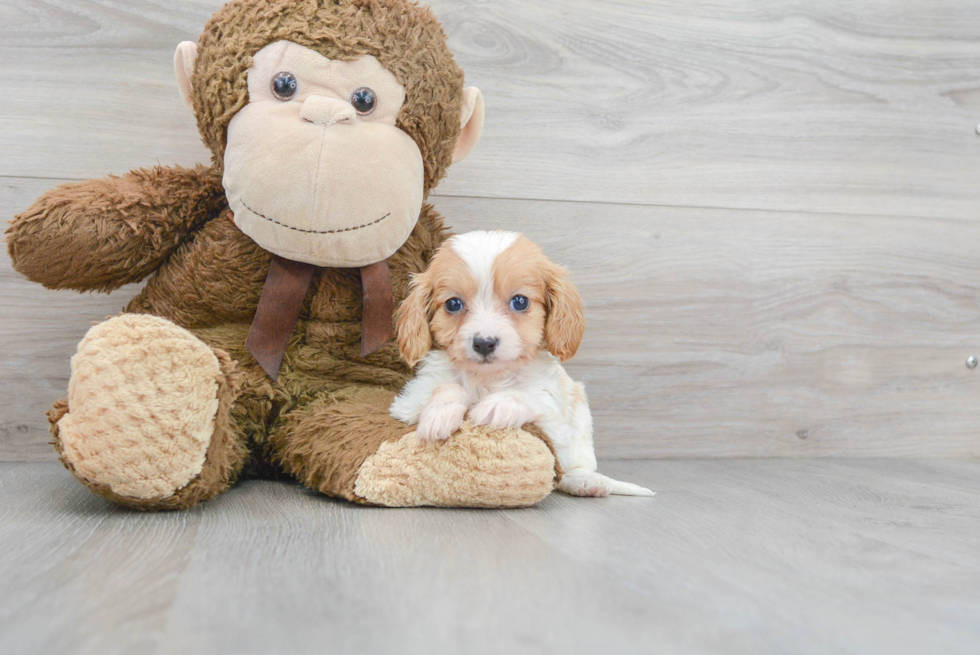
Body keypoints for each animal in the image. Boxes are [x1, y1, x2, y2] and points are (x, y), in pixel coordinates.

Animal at [388, 231, 652, 498]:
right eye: (453, 304)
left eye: (520, 302)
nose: (484, 343)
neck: (488, 378)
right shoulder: (409, 401)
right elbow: (447, 387)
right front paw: (439, 414)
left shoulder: (553, 421)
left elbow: (526, 397)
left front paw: (497, 405)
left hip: (580, 421)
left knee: (568, 470)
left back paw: (587, 481)